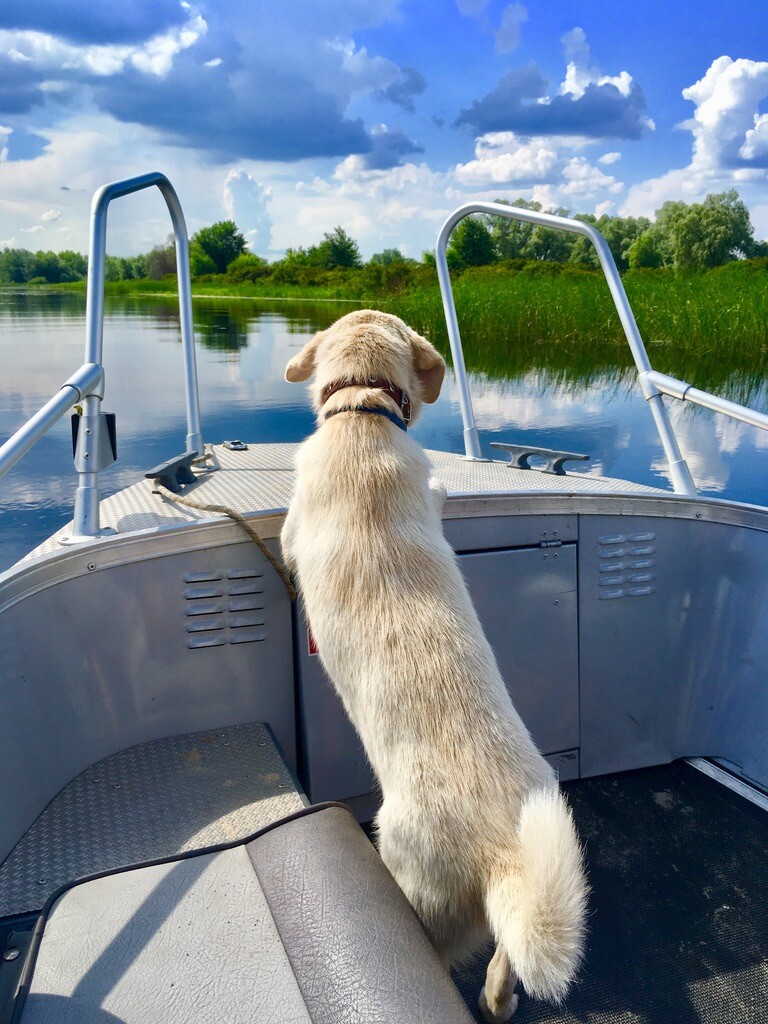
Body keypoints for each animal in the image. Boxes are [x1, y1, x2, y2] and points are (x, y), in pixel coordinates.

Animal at [282, 307, 589, 1019]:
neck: (361, 413)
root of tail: (502, 848)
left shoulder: (289, 528)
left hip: (414, 879)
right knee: (505, 960)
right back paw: (501, 1002)